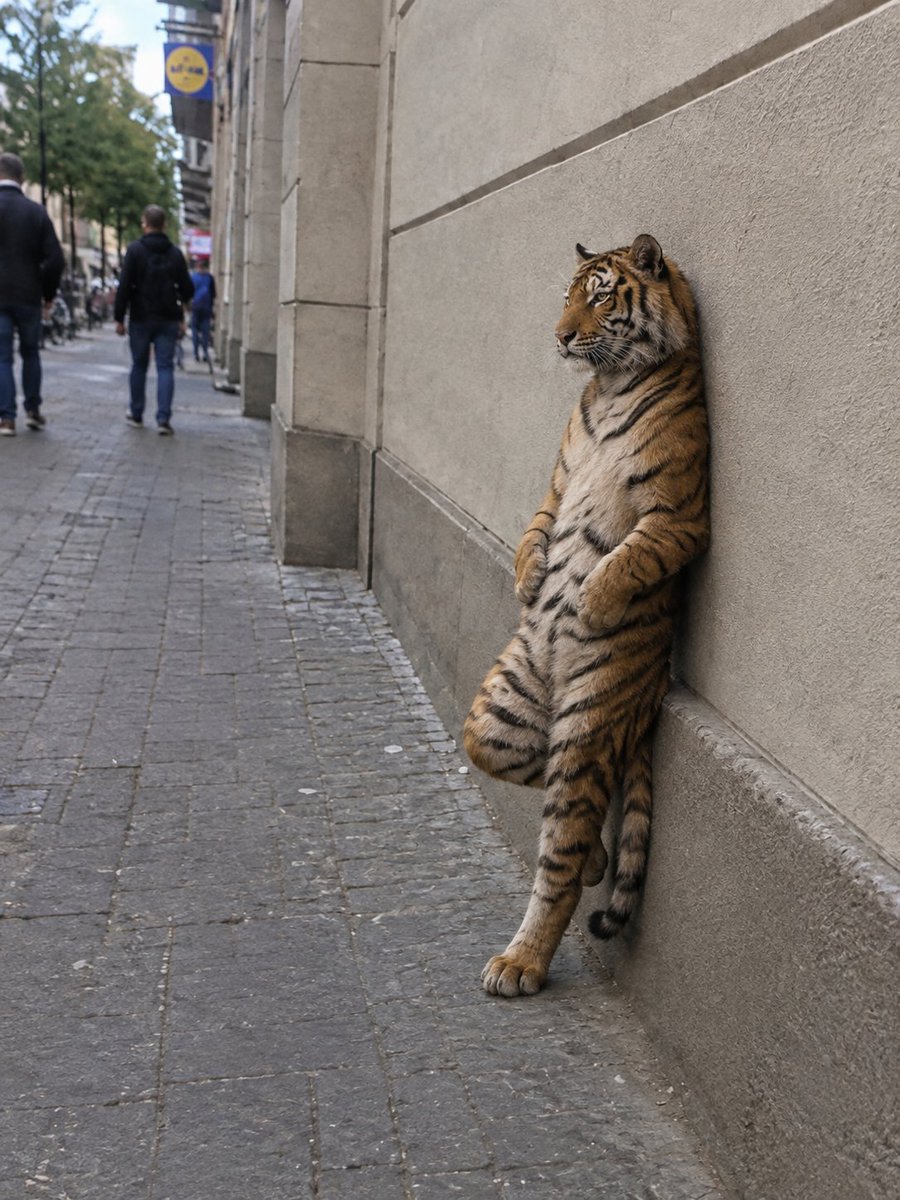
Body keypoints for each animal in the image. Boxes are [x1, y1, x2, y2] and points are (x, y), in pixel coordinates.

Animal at [464, 234, 709, 997]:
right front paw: (529, 582)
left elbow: (626, 557)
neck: (609, 383)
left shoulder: (680, 518)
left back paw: (521, 962)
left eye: (601, 296)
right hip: (503, 712)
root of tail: (646, 704)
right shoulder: (558, 481)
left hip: (588, 717)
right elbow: (536, 529)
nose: (561, 336)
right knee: (519, 765)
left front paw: (591, 601)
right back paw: (597, 865)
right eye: (567, 296)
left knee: (562, 862)